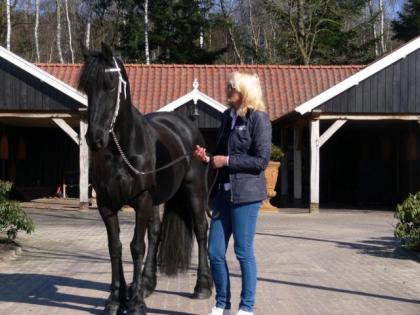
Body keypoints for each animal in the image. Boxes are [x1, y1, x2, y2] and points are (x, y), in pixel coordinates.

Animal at [78, 43, 213, 315]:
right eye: (86, 86)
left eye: (110, 84)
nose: (95, 138)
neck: (120, 150)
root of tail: (188, 126)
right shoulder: (107, 204)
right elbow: (116, 247)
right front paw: (116, 299)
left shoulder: (141, 200)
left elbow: (136, 247)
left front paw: (136, 303)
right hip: (156, 199)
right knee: (156, 233)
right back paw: (147, 284)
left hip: (194, 190)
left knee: (201, 229)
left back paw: (202, 286)